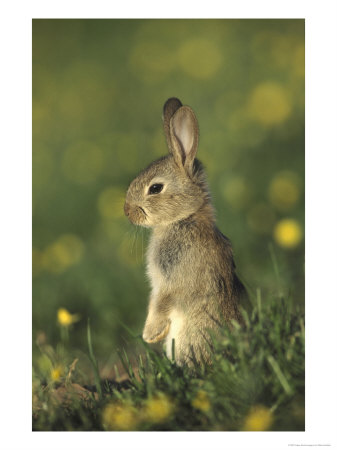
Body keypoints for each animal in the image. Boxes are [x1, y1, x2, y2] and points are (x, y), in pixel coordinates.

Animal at [123, 97, 244, 366]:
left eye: (155, 188)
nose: (127, 211)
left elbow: (161, 303)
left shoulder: (171, 281)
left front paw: (150, 335)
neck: (184, 218)